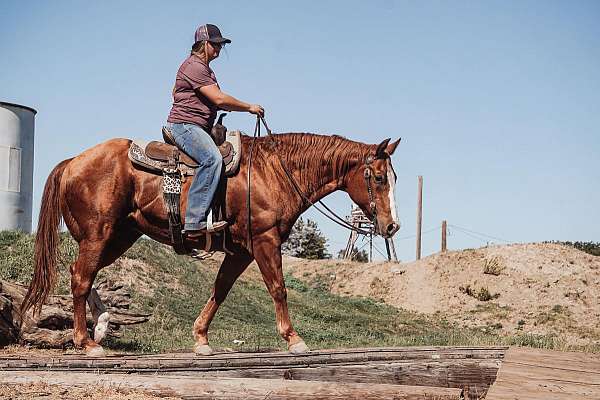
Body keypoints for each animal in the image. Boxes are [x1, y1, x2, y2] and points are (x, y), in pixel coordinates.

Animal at [22, 131, 398, 356]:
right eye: (379, 178)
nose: (392, 225)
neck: (273, 172)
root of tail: (72, 162)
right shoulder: (264, 240)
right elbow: (278, 288)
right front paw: (294, 339)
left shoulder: (242, 251)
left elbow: (220, 289)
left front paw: (201, 338)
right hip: (99, 234)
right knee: (80, 277)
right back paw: (86, 342)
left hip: (120, 236)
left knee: (82, 274)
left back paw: (100, 325)